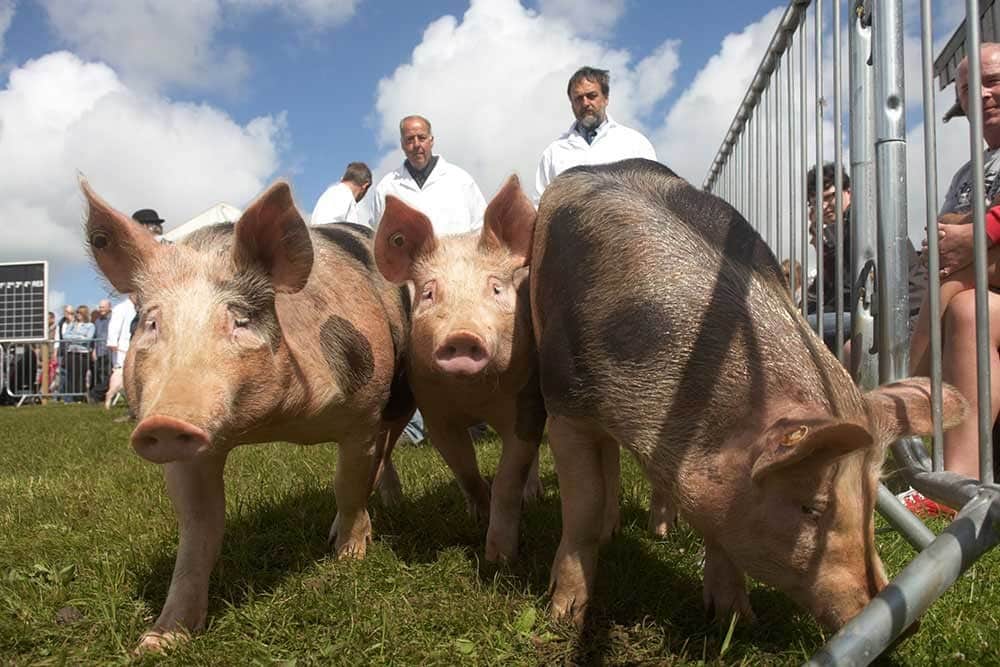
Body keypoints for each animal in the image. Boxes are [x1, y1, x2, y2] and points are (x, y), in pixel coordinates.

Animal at [83, 179, 414, 652]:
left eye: (239, 320)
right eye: (150, 323)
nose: (165, 423)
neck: (274, 424)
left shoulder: (363, 412)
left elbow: (347, 485)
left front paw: (348, 560)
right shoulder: (193, 453)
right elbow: (199, 528)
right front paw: (157, 642)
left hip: (400, 393)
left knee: (386, 447)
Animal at [372, 175, 544, 560]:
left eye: (495, 289)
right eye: (428, 293)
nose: (463, 336)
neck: (473, 396)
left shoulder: (526, 402)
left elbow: (510, 476)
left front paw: (500, 557)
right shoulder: (436, 414)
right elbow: (464, 468)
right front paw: (477, 514)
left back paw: (534, 496)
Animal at [532, 160, 968, 632]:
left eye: (873, 498)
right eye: (811, 508)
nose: (907, 626)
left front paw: (735, 619)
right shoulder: (565, 404)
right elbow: (584, 509)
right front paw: (564, 616)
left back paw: (662, 531)